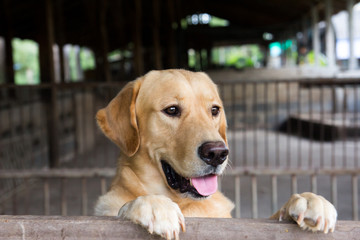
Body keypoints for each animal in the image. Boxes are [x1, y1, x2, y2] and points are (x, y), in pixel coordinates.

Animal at [93, 68, 338, 239]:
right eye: (171, 110)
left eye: (214, 110)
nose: (218, 153)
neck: (185, 203)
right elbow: (125, 207)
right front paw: (154, 205)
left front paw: (308, 200)